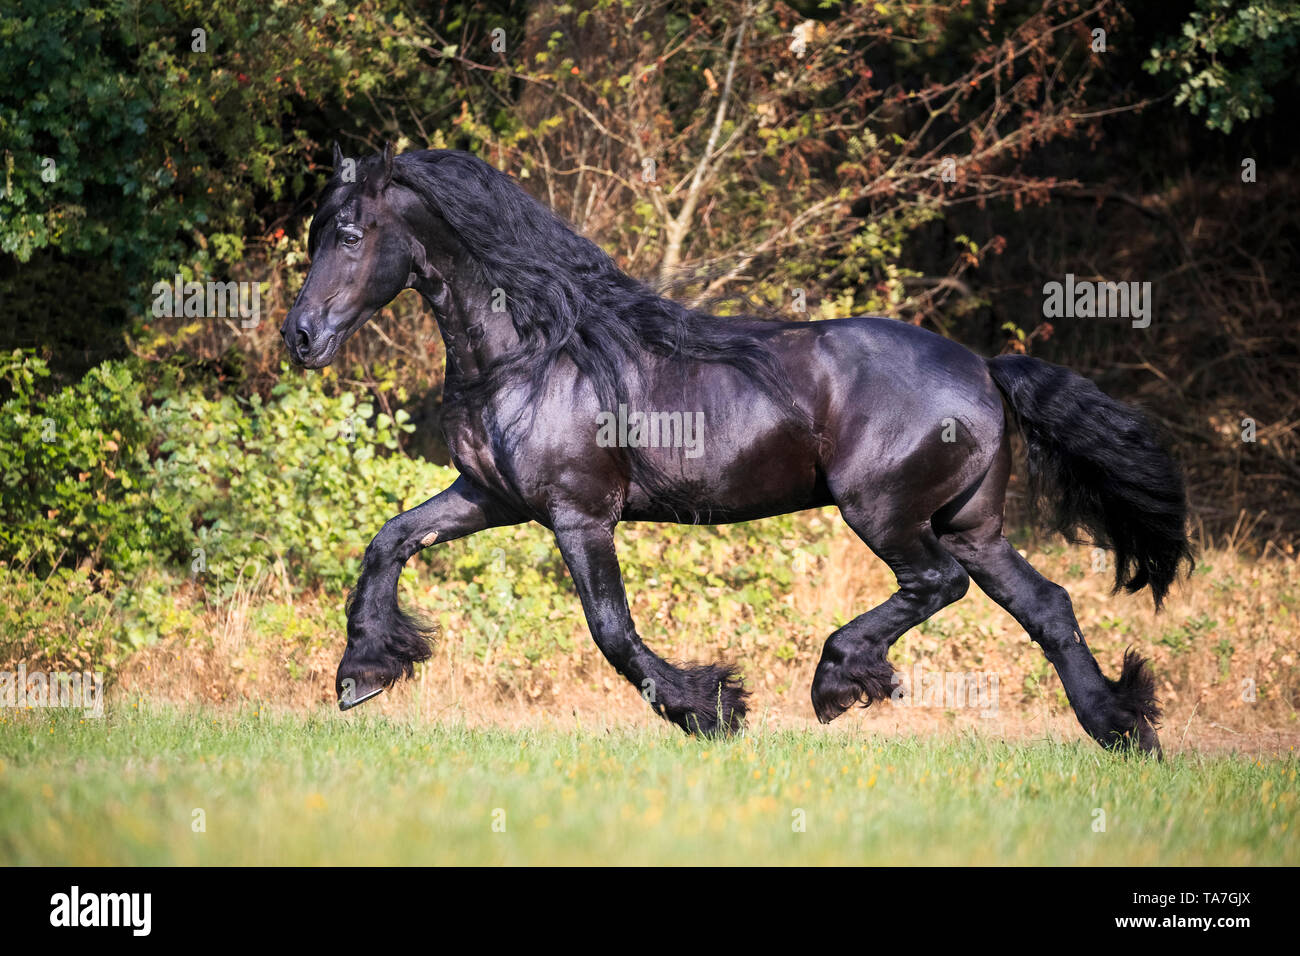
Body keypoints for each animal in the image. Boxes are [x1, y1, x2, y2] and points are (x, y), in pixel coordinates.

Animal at [281, 144, 1192, 755]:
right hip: (974, 524)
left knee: (936, 584)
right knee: (1048, 607)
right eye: (317, 230)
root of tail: (983, 366)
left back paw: (838, 682)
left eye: (351, 234)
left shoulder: (579, 515)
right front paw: (363, 671)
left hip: (886, 512)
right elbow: (388, 541)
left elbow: (612, 630)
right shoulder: (490, 497)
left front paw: (711, 708)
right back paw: (1122, 728)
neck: (531, 349)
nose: (300, 337)